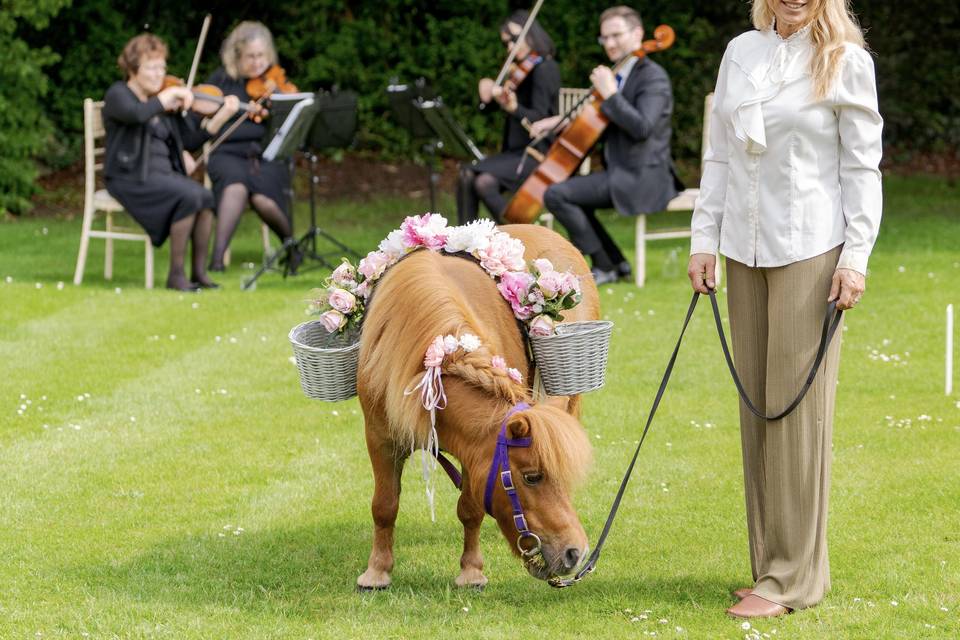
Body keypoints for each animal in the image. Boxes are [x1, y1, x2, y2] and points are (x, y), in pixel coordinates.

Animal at [356, 225, 600, 592]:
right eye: (532, 477)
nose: (576, 552)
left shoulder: (475, 452)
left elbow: (470, 508)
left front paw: (471, 571)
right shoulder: (380, 438)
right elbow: (384, 505)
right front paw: (377, 572)